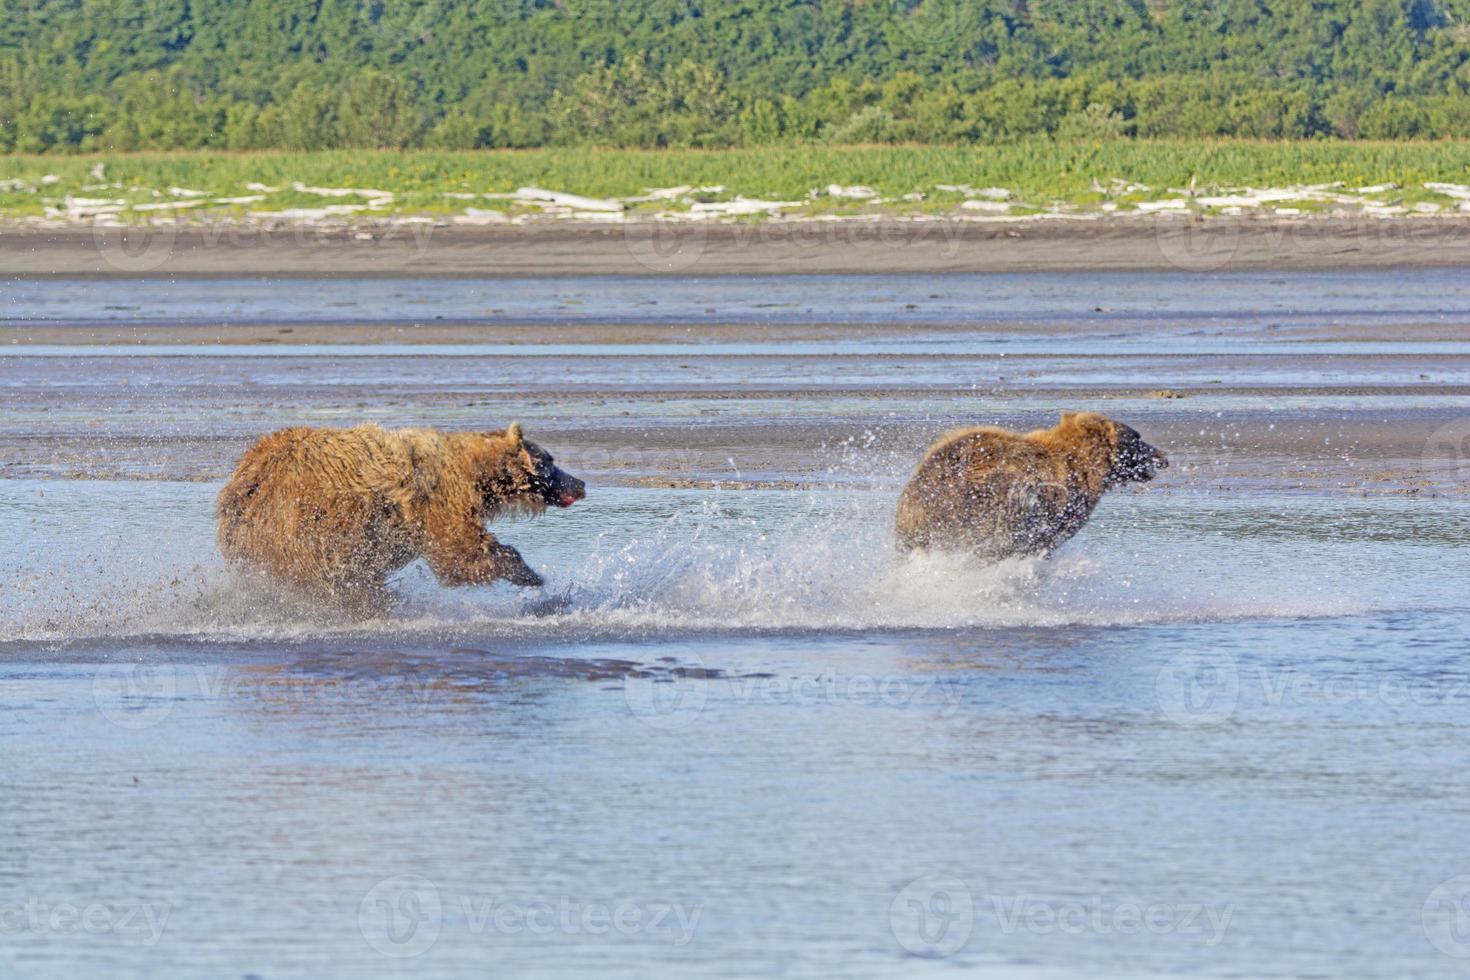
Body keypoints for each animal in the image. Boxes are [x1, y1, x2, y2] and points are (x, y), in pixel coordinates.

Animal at [214, 423, 582, 605]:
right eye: (550, 460)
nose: (580, 483)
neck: (475, 475)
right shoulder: (438, 498)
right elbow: (461, 552)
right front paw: (531, 574)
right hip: (303, 527)